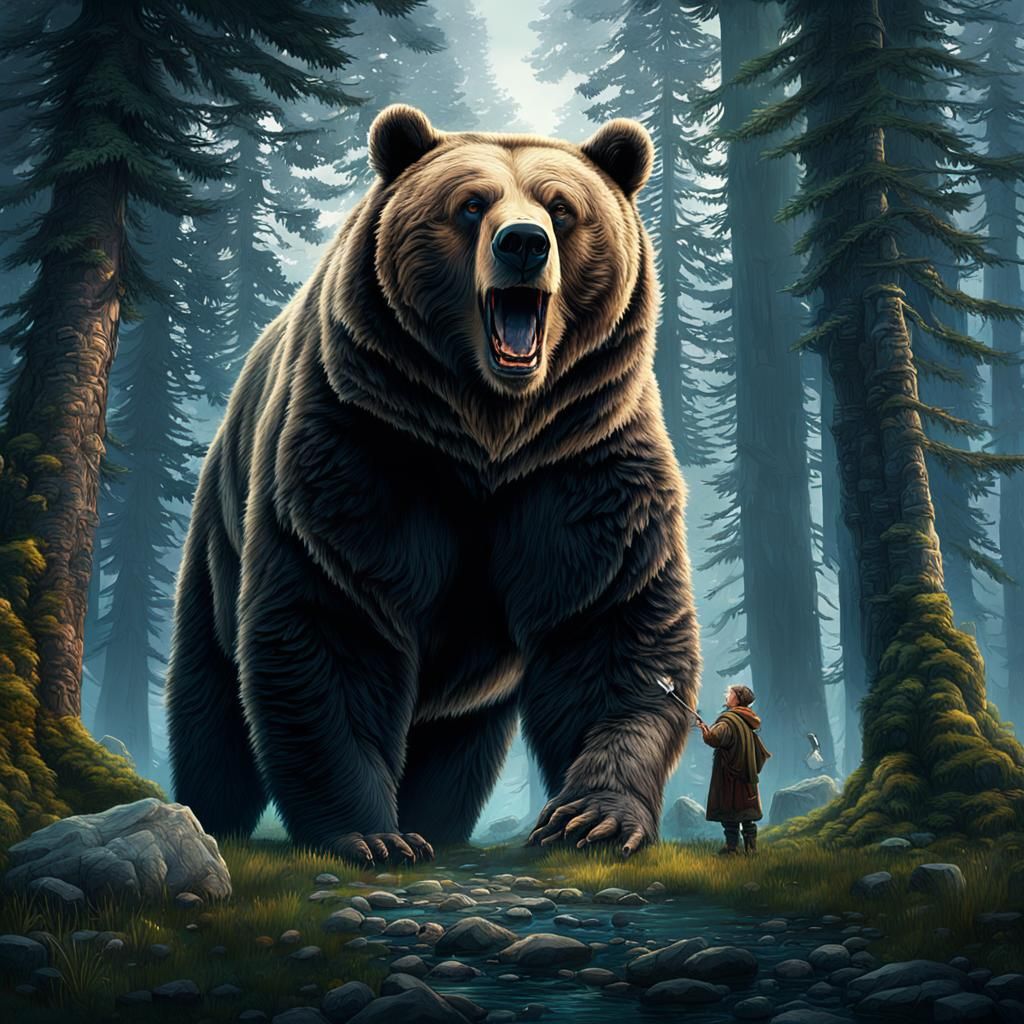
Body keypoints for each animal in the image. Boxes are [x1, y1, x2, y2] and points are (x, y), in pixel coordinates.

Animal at [165, 105, 701, 864]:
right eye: (472, 204)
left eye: (562, 208)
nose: (523, 243)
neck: (488, 432)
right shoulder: (364, 441)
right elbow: (337, 617)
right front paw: (370, 834)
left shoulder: (582, 459)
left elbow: (607, 620)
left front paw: (590, 818)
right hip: (219, 533)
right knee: (210, 698)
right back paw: (214, 813)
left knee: (458, 744)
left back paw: (440, 821)